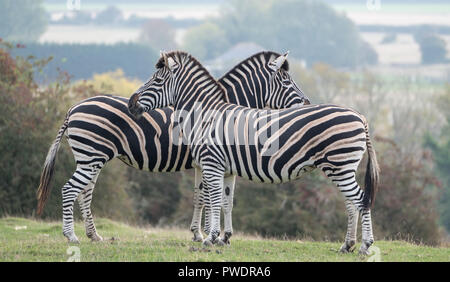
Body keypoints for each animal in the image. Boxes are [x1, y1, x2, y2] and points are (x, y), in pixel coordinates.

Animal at [37, 50, 310, 245]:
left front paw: (204, 234)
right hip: (91, 156)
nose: (307, 103)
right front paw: (209, 235)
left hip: (91, 158)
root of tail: (73, 108)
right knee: (72, 190)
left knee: (85, 192)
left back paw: (93, 235)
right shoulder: (212, 161)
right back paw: (72, 236)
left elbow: (207, 197)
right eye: (287, 81)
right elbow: (211, 198)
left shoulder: (210, 163)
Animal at [129, 51, 380, 256]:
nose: (131, 103)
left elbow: (213, 199)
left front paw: (210, 238)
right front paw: (221, 238)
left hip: (340, 165)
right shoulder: (224, 168)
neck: (206, 114)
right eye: (286, 80)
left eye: (157, 80)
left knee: (360, 199)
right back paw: (347, 245)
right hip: (341, 167)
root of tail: (360, 116)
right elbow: (224, 201)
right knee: (352, 202)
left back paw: (365, 246)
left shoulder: (211, 164)